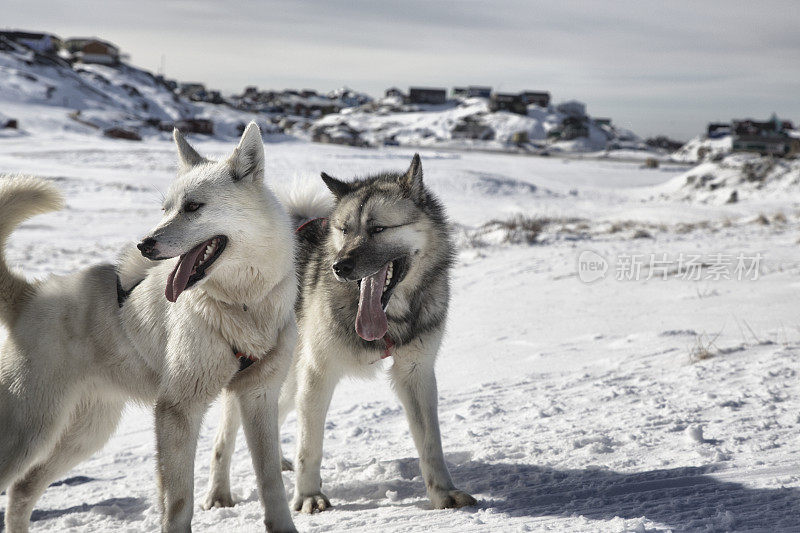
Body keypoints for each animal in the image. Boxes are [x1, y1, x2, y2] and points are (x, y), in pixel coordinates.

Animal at [0, 123, 298, 532]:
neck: (242, 304)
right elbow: (178, 501)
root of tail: (29, 294)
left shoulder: (259, 398)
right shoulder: (177, 410)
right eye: (165, 208)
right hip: (31, 430)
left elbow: (272, 484)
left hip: (85, 433)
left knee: (22, 489)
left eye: (193, 207)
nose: (144, 244)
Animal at [205, 153, 476, 512]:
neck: (390, 317)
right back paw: (218, 493)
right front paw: (308, 496)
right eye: (344, 230)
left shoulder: (415, 373)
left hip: (286, 381)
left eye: (378, 229)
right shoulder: (318, 374)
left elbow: (431, 443)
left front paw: (444, 493)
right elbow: (309, 446)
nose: (339, 266)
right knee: (223, 441)